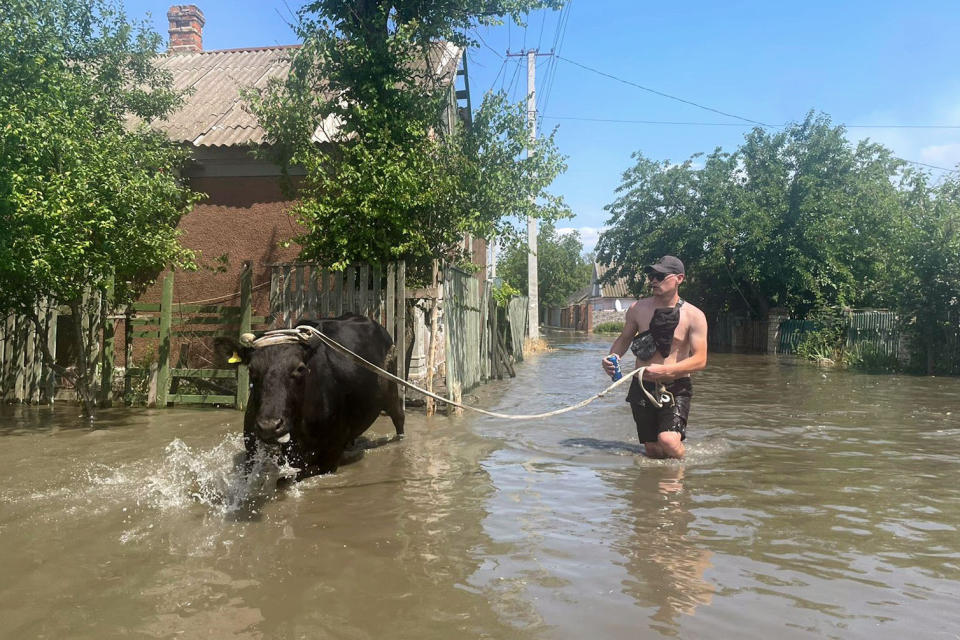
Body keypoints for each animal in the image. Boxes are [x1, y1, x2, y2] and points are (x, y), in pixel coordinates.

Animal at [238, 312, 406, 478]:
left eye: (300, 368)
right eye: (251, 369)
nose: (269, 426)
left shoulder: (331, 454)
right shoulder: (251, 452)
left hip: (391, 391)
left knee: (399, 417)